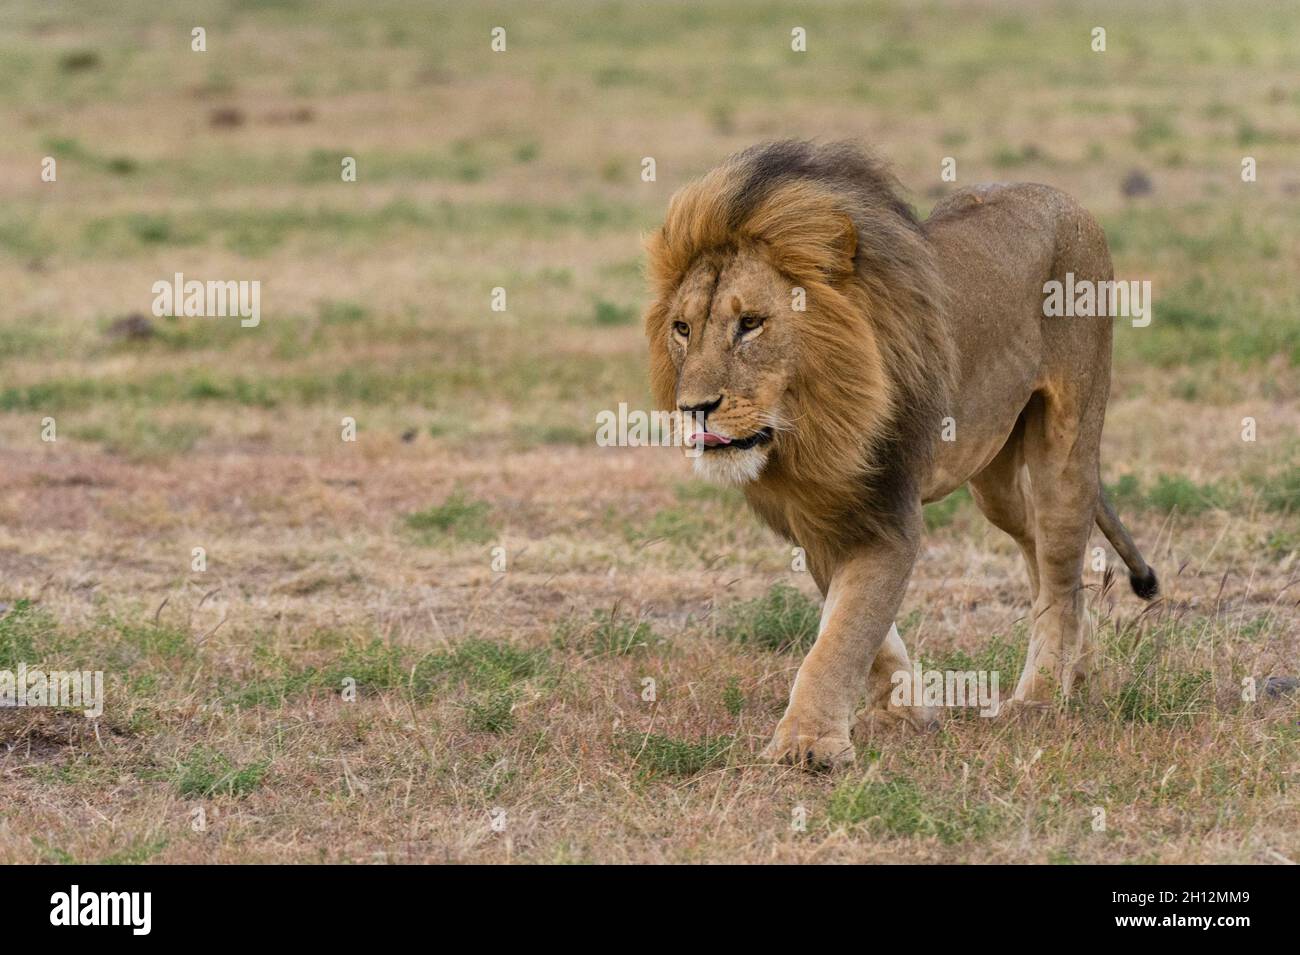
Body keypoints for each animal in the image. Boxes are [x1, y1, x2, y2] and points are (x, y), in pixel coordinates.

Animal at [643, 140, 1158, 768]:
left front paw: (807, 743)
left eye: (751, 324)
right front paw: (904, 715)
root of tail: (1062, 197)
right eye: (682, 328)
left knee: (1060, 567)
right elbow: (860, 632)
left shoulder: (886, 514)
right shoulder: (821, 524)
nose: (693, 408)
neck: (808, 434)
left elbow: (843, 636)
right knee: (1042, 550)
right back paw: (1078, 673)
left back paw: (1037, 699)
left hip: (1069, 441)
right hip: (993, 482)